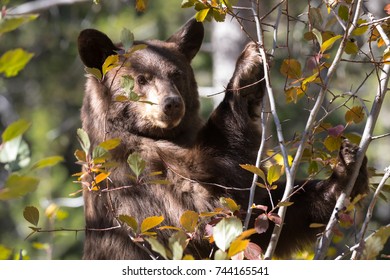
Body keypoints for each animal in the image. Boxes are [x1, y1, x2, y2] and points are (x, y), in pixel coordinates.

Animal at [77, 19, 368, 260]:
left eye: (176, 74)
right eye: (141, 79)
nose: (171, 103)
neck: (154, 135)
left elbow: (264, 215)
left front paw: (345, 169)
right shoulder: (135, 175)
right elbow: (207, 205)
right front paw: (247, 68)